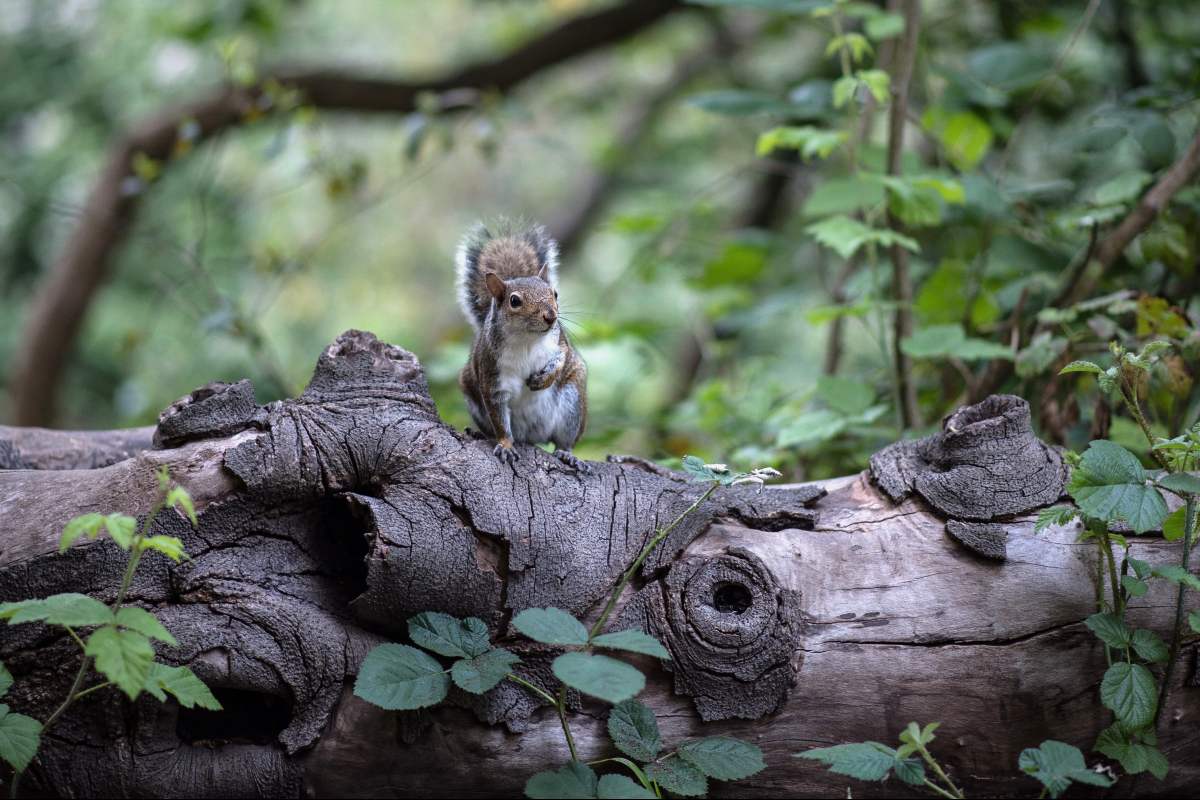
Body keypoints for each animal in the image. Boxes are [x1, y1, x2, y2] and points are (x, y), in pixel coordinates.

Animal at [455, 221, 590, 471]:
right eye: (515, 301)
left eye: (555, 293)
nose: (551, 316)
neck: (527, 339)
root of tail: (533, 436)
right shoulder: (492, 377)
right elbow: (500, 422)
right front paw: (506, 445)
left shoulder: (559, 342)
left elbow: (561, 358)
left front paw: (542, 379)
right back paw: (481, 434)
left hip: (573, 403)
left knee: (564, 441)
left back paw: (568, 455)